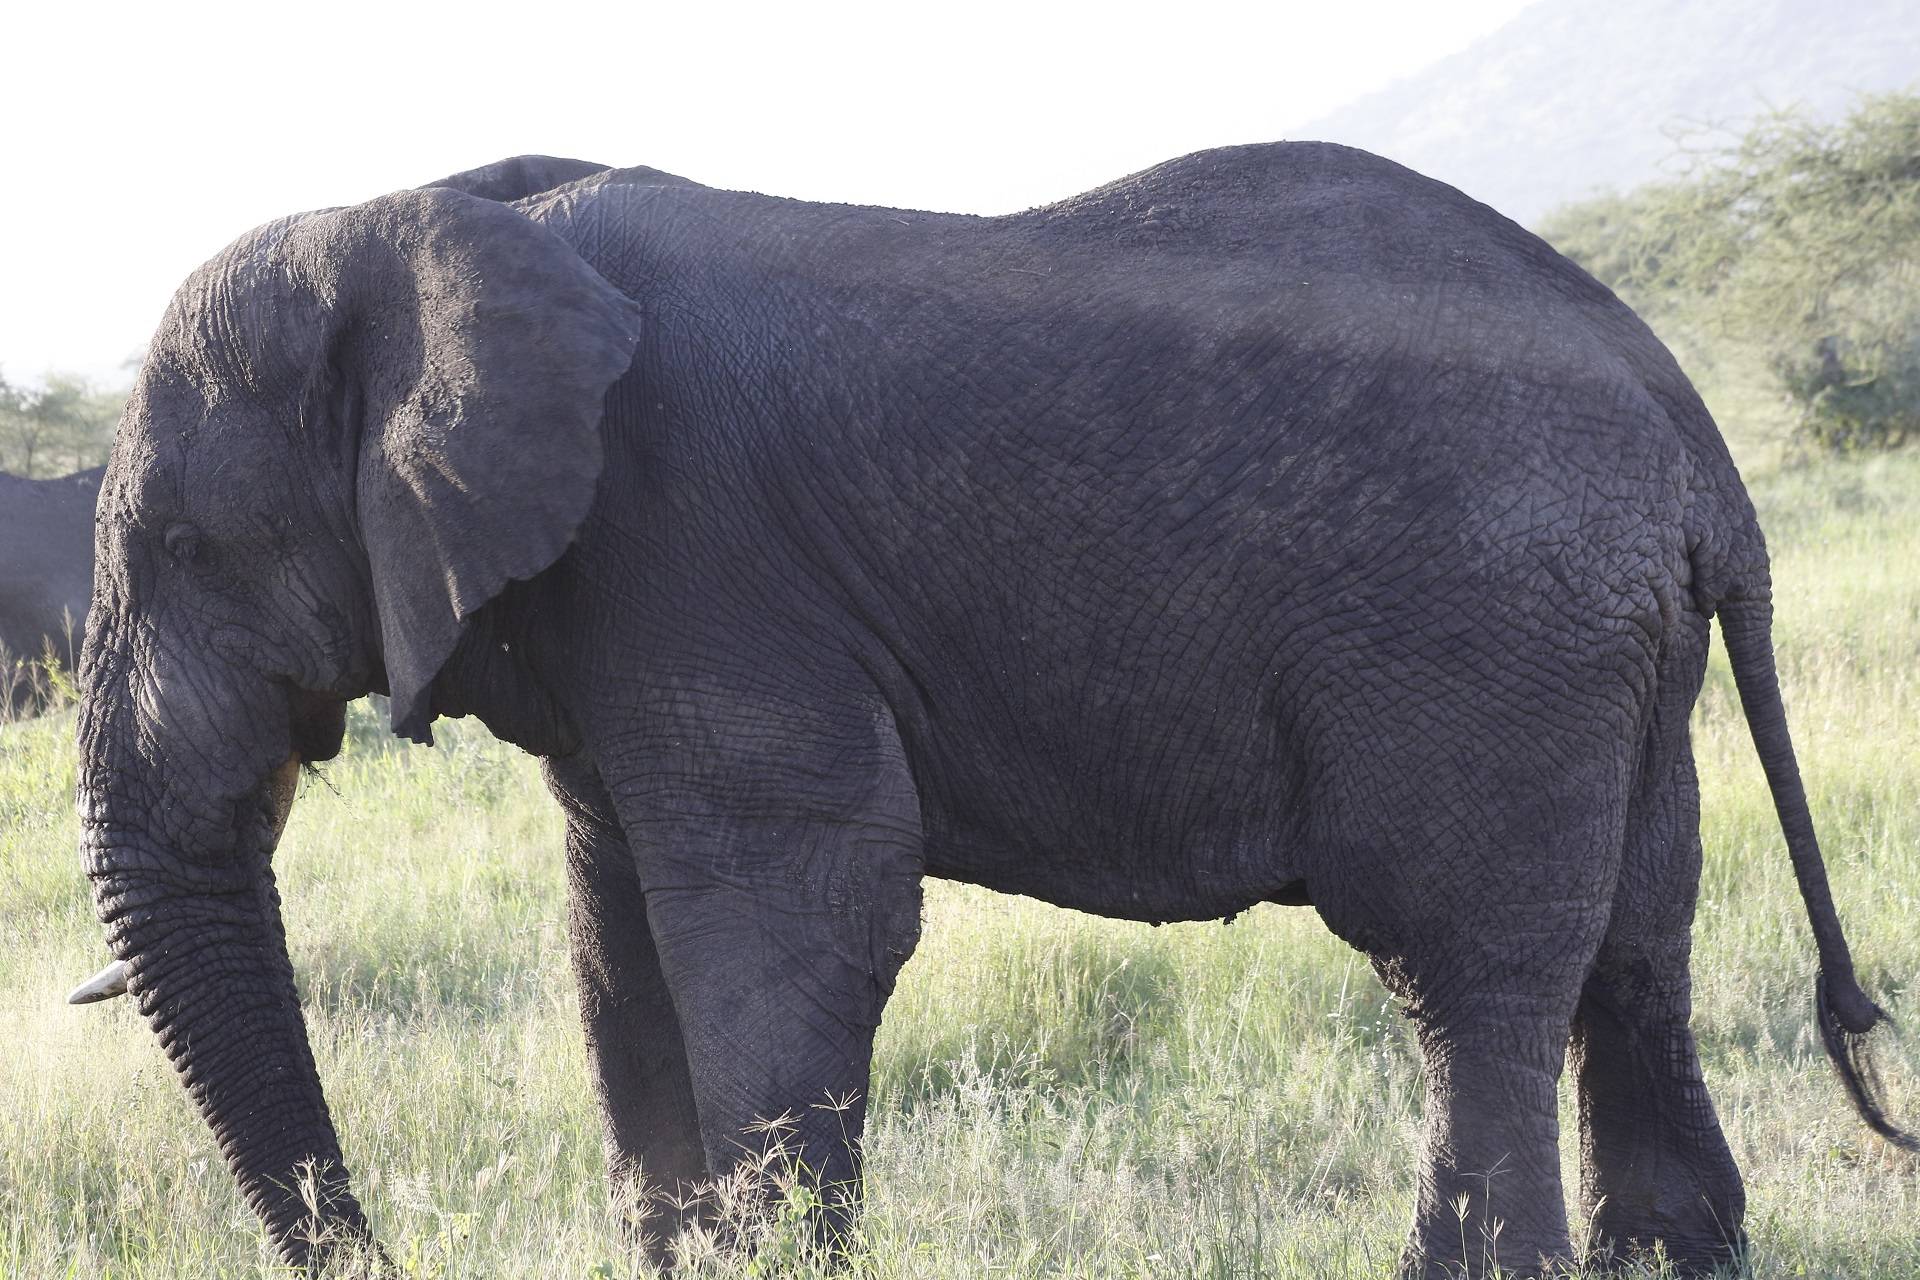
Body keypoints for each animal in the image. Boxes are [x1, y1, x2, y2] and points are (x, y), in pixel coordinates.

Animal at [67, 142, 1912, 1280]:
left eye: (180, 550)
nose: (379, 1250)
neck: (426, 212)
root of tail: (1686, 424)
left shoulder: (698, 550)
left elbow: (802, 905)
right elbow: (616, 937)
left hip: (1484, 635)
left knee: (1467, 969)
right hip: (1613, 652)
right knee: (1634, 954)